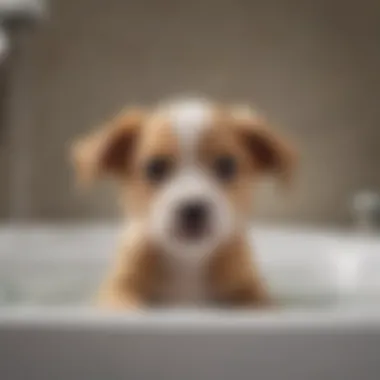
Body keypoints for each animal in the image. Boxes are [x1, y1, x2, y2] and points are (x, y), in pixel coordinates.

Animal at [72, 98, 296, 308]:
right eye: (155, 167)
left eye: (227, 165)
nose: (193, 209)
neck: (188, 262)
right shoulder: (116, 288)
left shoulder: (252, 290)